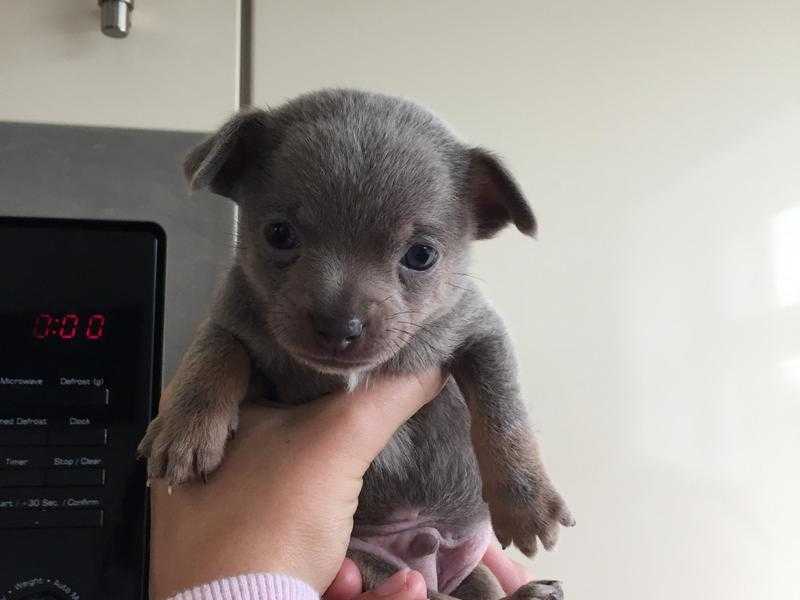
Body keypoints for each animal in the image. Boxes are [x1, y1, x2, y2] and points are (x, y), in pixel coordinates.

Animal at [139, 89, 576, 600]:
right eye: (278, 234)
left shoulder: (479, 331)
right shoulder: (234, 321)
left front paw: (526, 501)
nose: (338, 325)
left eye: (421, 255)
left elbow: (503, 411)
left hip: (465, 568)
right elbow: (216, 352)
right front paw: (185, 429)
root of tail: (424, 549)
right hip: (366, 561)